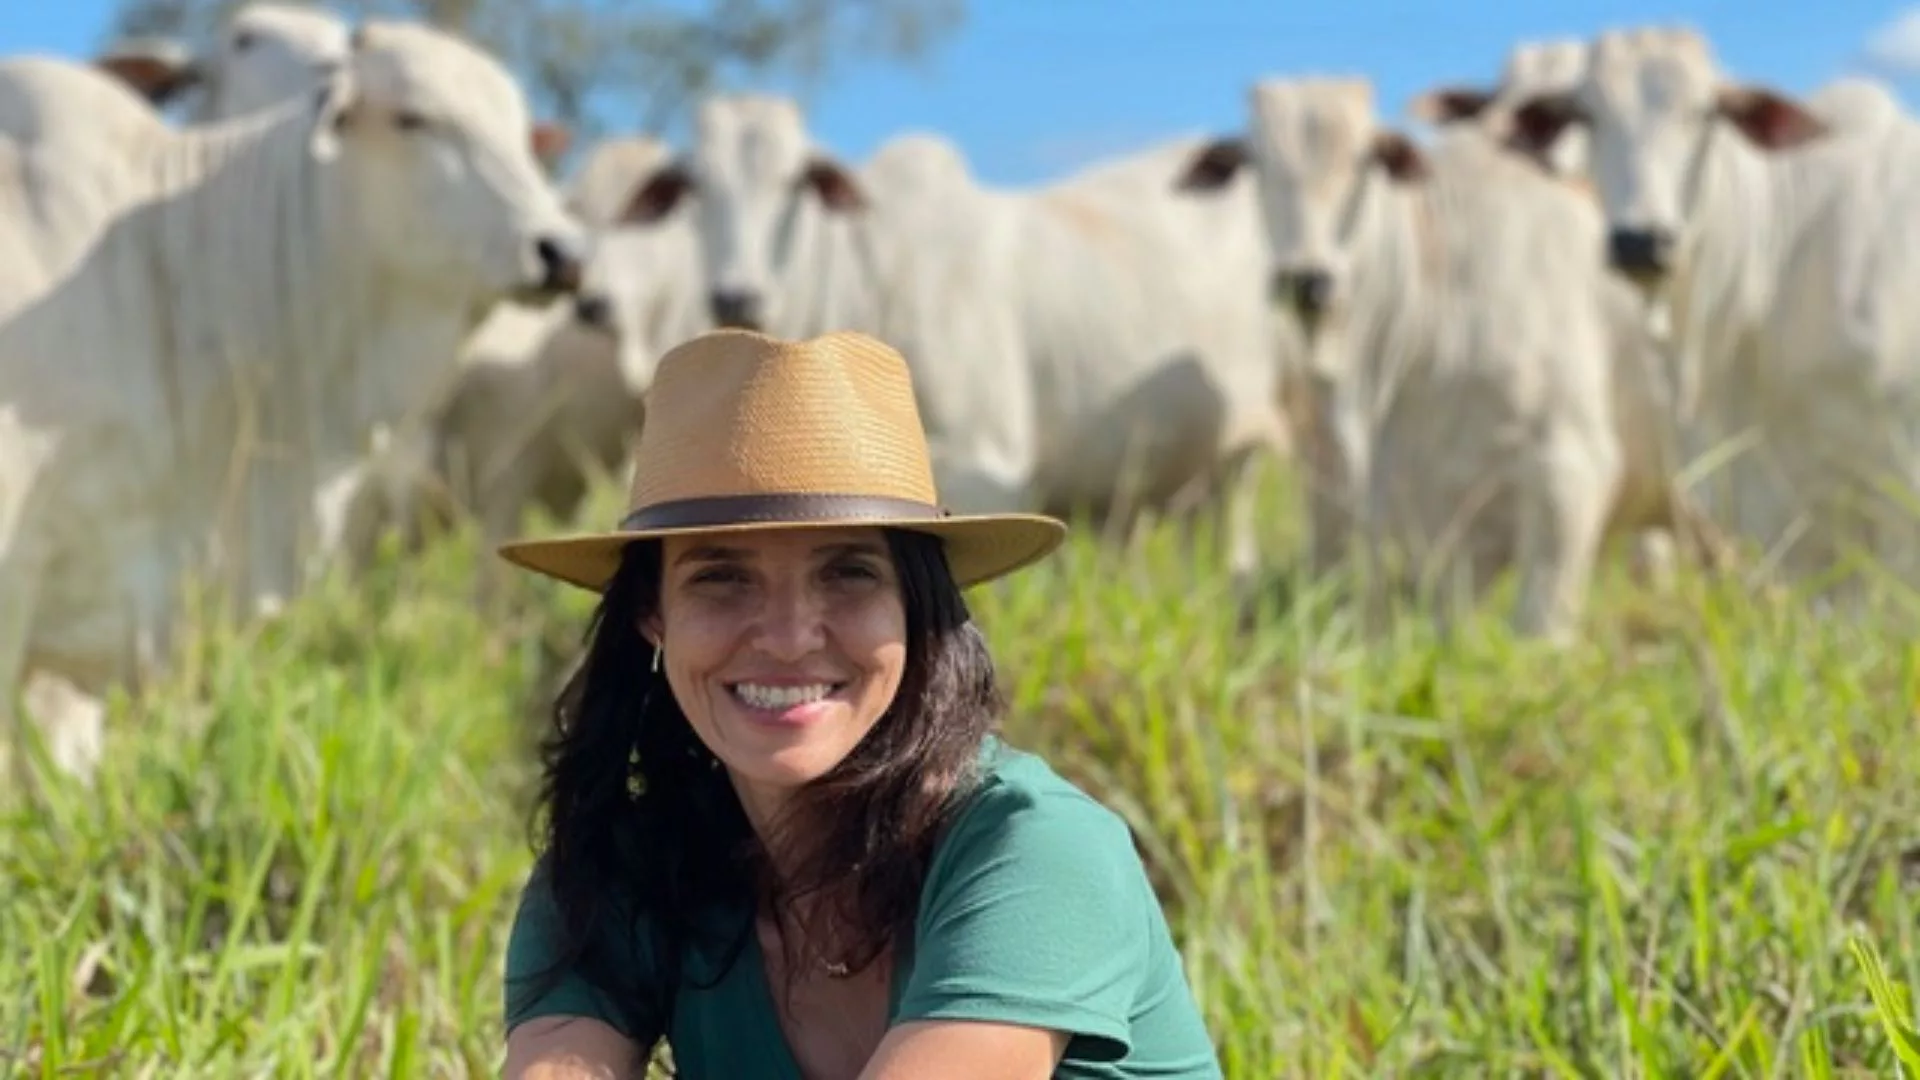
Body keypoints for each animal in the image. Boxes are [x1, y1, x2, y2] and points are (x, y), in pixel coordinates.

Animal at [622, 95, 1297, 584]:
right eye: (692, 185)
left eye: (797, 182)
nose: (736, 295)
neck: (869, 273)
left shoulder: (988, 467)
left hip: (1248, 449)